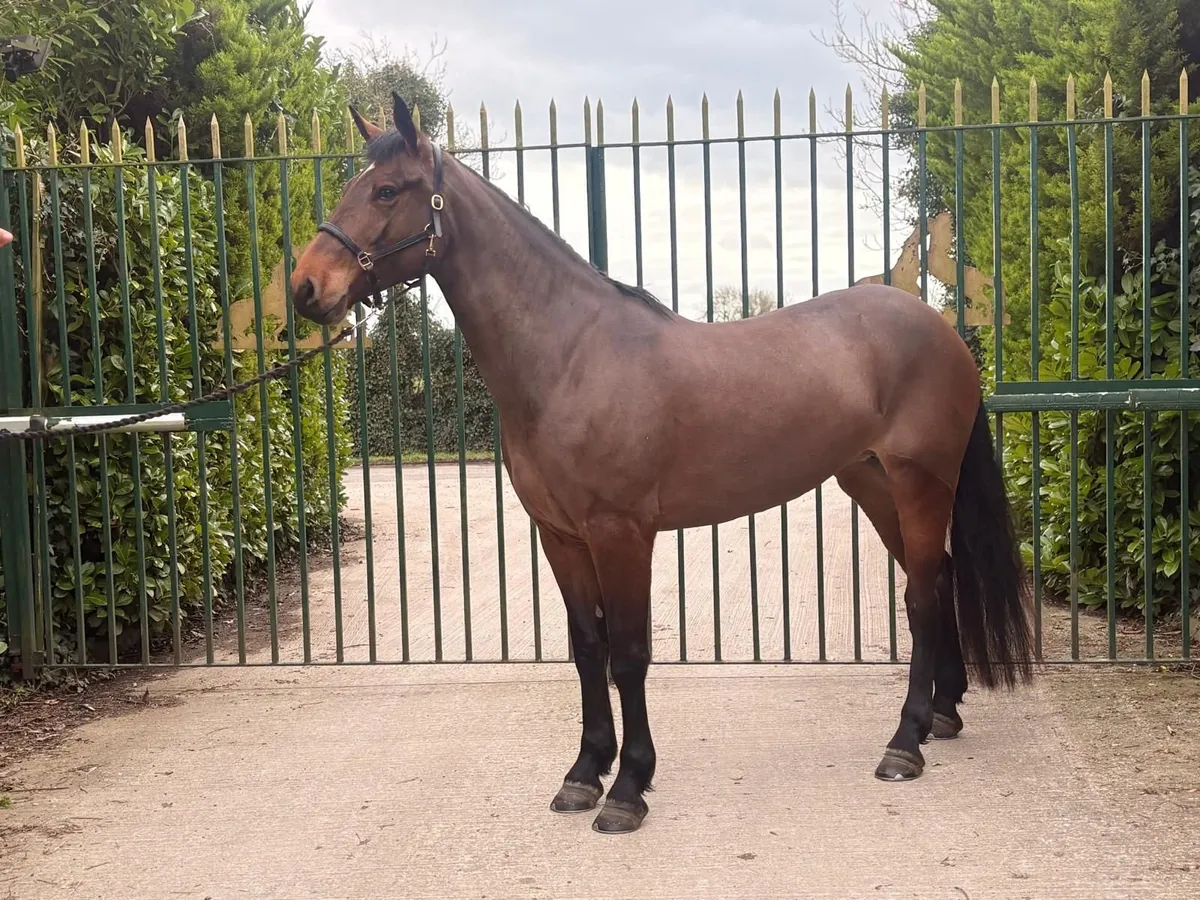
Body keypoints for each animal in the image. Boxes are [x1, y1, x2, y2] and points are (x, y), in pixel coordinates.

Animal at [289, 92, 1034, 835]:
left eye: (387, 191)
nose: (303, 288)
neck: (570, 357)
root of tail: (943, 331)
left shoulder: (621, 533)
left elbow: (629, 653)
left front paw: (628, 788)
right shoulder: (561, 536)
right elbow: (587, 648)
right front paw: (583, 774)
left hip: (919, 481)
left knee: (921, 595)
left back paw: (905, 742)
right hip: (870, 481)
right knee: (937, 577)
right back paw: (943, 713)